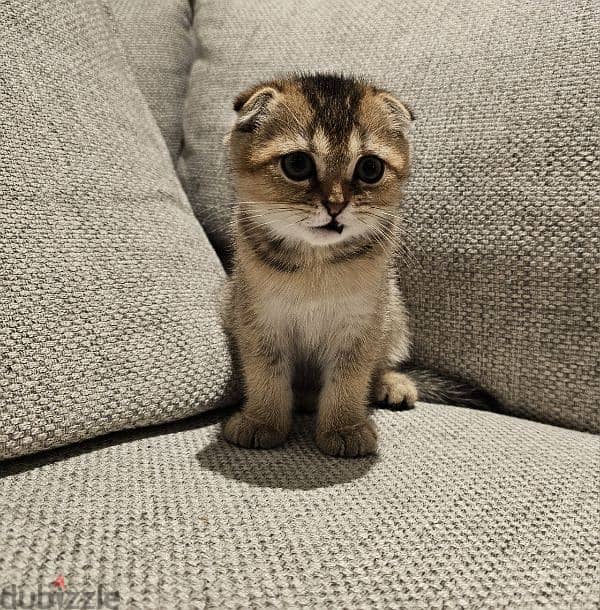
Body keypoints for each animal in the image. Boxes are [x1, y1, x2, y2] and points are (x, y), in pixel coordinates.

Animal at [220, 73, 422, 454]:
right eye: (297, 165)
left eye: (370, 168)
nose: (336, 205)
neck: (316, 268)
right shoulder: (257, 320)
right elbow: (266, 374)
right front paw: (263, 421)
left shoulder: (361, 325)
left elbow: (349, 379)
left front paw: (344, 428)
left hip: (394, 314)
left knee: (382, 364)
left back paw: (392, 384)